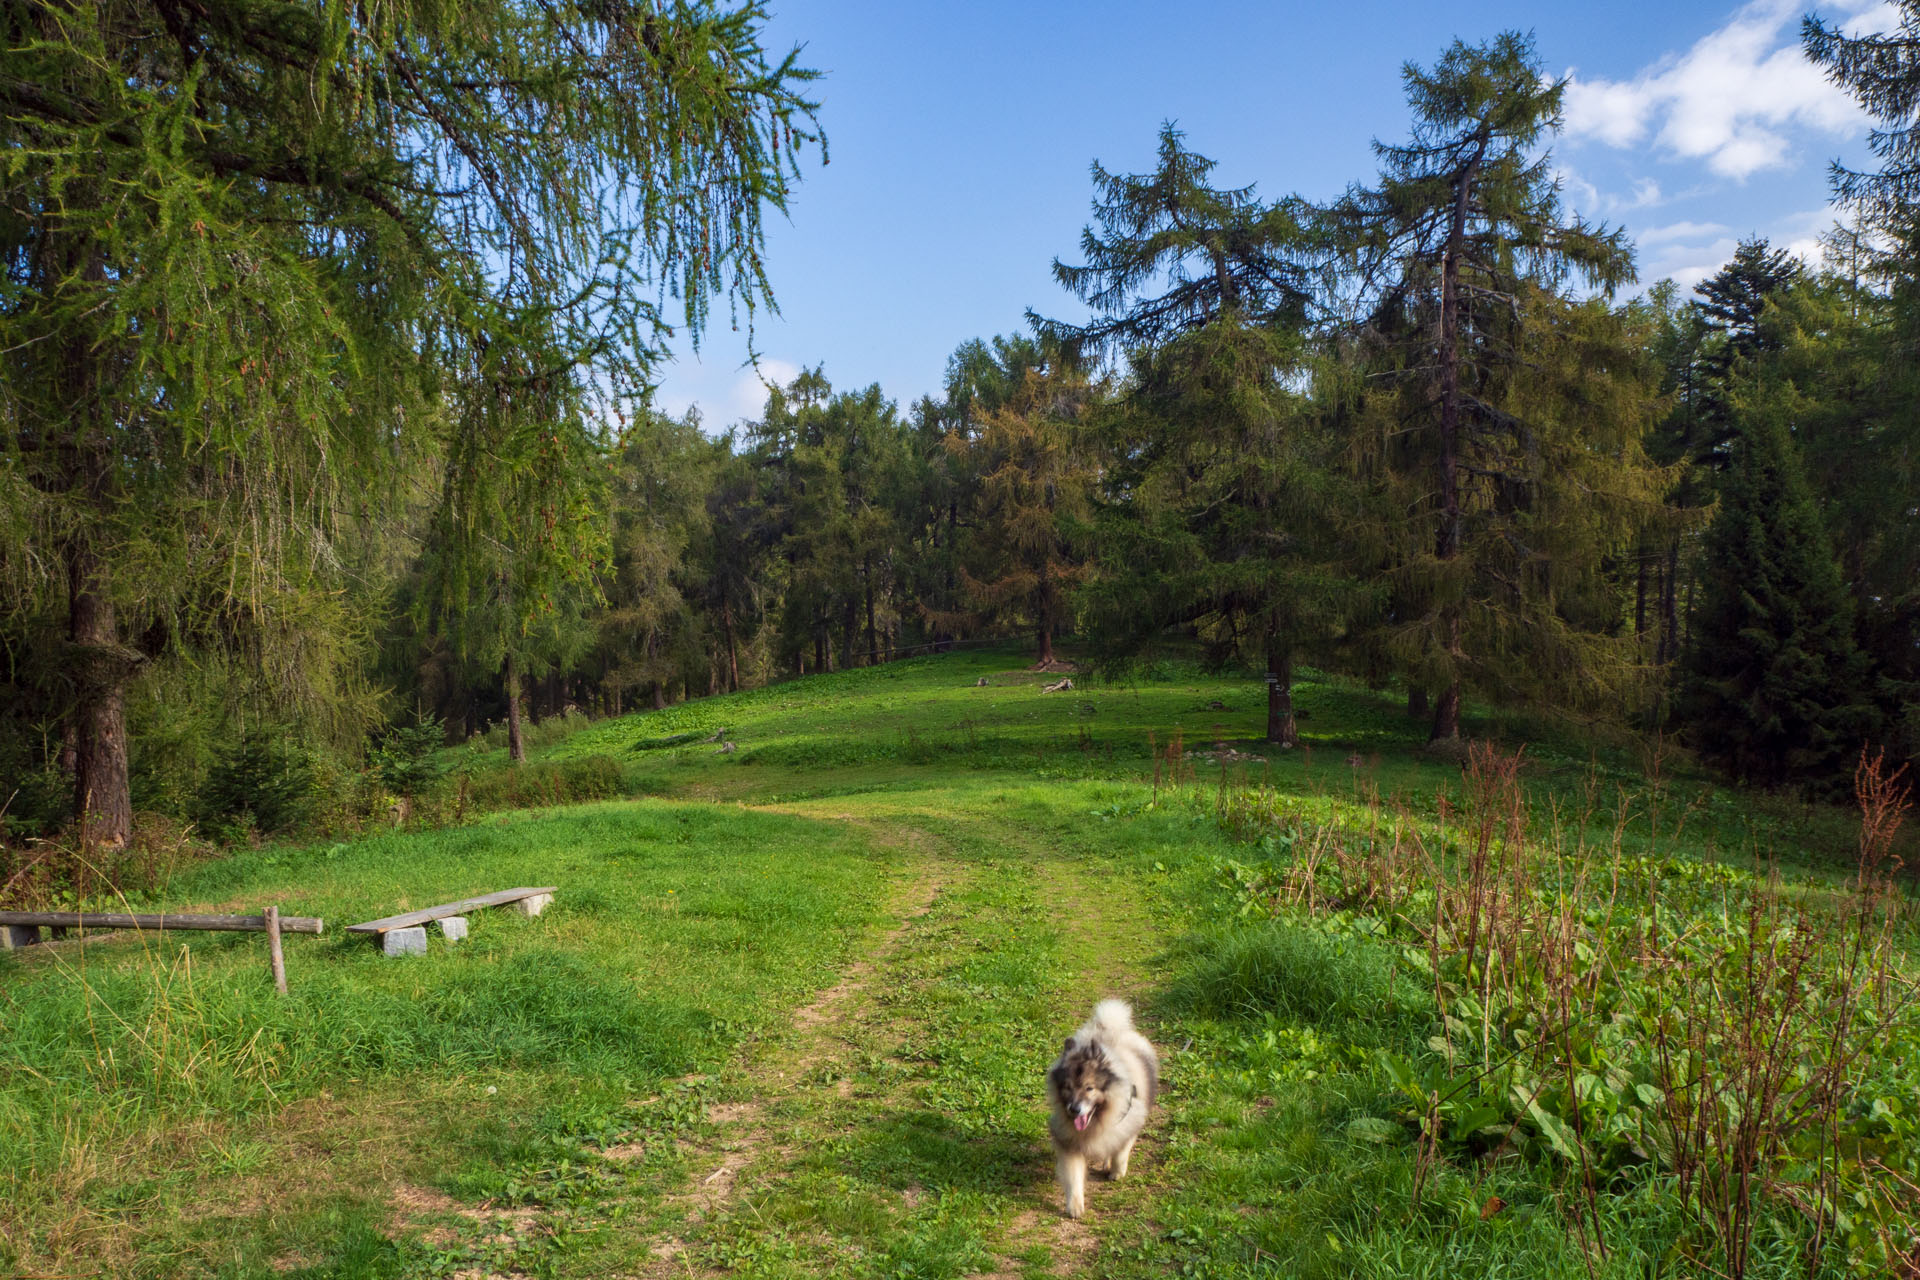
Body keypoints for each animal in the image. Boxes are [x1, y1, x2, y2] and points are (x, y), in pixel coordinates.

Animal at [1052, 997, 1152, 1220]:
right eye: (1067, 1088)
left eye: (1089, 1088)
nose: (1074, 1109)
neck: (1098, 1119)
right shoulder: (1070, 1142)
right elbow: (1073, 1175)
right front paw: (1075, 1206)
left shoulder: (1129, 1123)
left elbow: (1121, 1152)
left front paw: (1116, 1172)